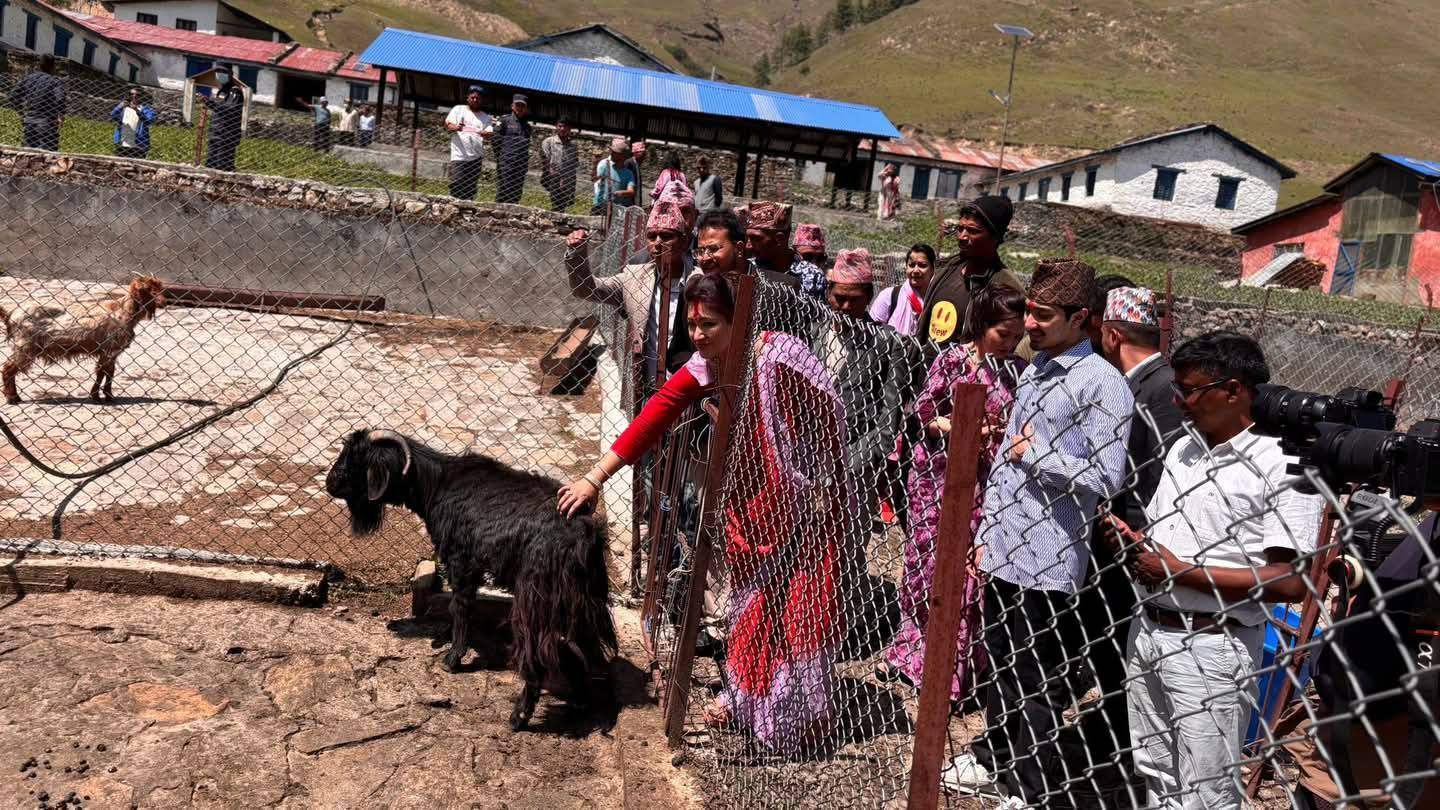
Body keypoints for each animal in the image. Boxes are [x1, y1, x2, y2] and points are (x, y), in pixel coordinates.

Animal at [1, 276, 166, 405]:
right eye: (150, 290)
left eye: (160, 287)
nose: (165, 302)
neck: (121, 311)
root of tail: (11, 314)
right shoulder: (110, 349)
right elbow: (106, 372)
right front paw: (104, 396)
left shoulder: (107, 351)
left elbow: (104, 372)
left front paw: (100, 395)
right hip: (25, 346)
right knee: (8, 368)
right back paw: (13, 398)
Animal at [325, 429, 618, 731]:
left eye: (355, 457)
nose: (329, 483)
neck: (435, 484)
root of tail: (582, 534)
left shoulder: (460, 560)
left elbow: (460, 607)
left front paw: (453, 658)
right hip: (583, 597)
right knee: (585, 643)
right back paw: (582, 699)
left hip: (536, 599)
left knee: (537, 652)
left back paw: (519, 716)